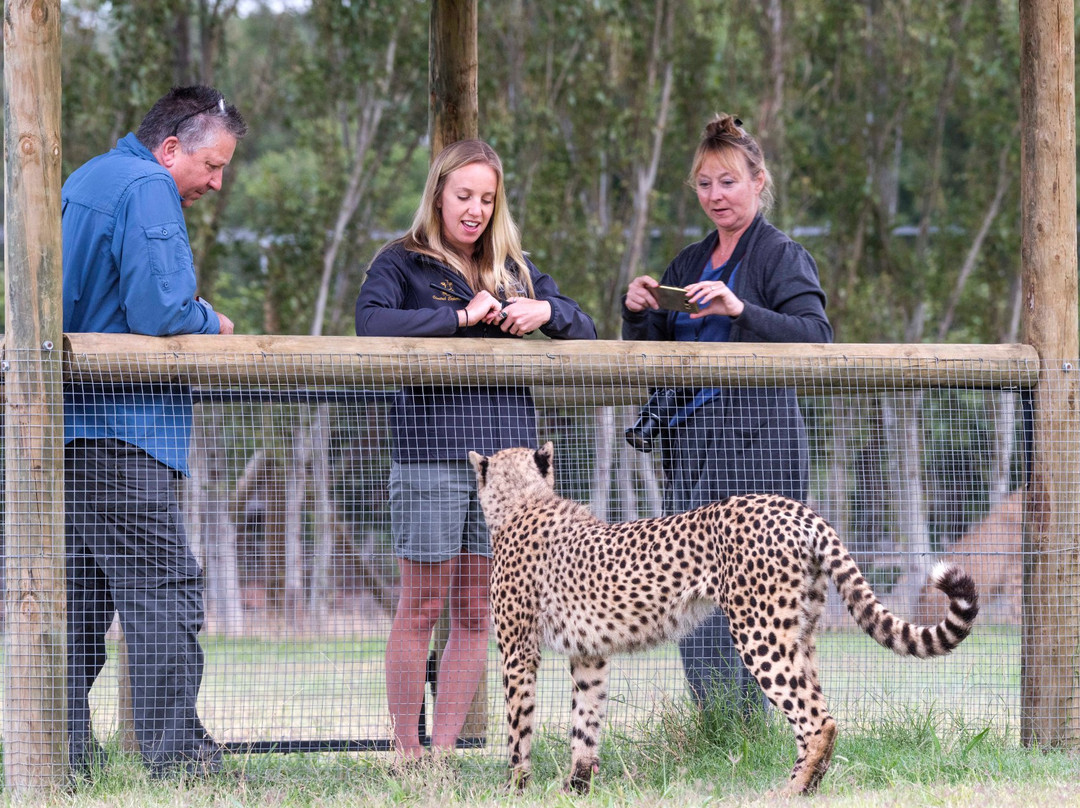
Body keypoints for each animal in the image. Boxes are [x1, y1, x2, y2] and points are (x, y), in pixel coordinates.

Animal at [464, 442, 980, 795]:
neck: (523, 502)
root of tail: (792, 507)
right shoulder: (590, 655)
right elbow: (584, 724)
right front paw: (576, 789)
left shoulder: (517, 652)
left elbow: (519, 725)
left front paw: (515, 788)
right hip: (799, 632)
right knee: (815, 708)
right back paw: (803, 785)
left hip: (758, 633)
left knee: (818, 718)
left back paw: (790, 791)